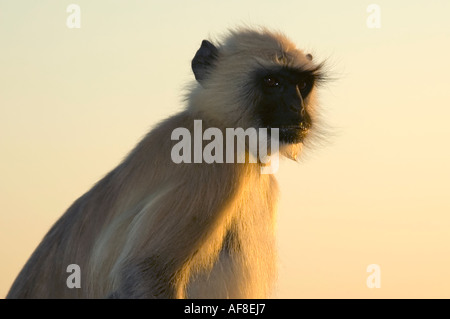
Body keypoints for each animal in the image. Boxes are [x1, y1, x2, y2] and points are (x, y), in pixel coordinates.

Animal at [6, 27, 324, 300]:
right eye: (272, 82)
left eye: (302, 85)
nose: (297, 108)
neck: (216, 123)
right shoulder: (212, 159)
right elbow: (145, 273)